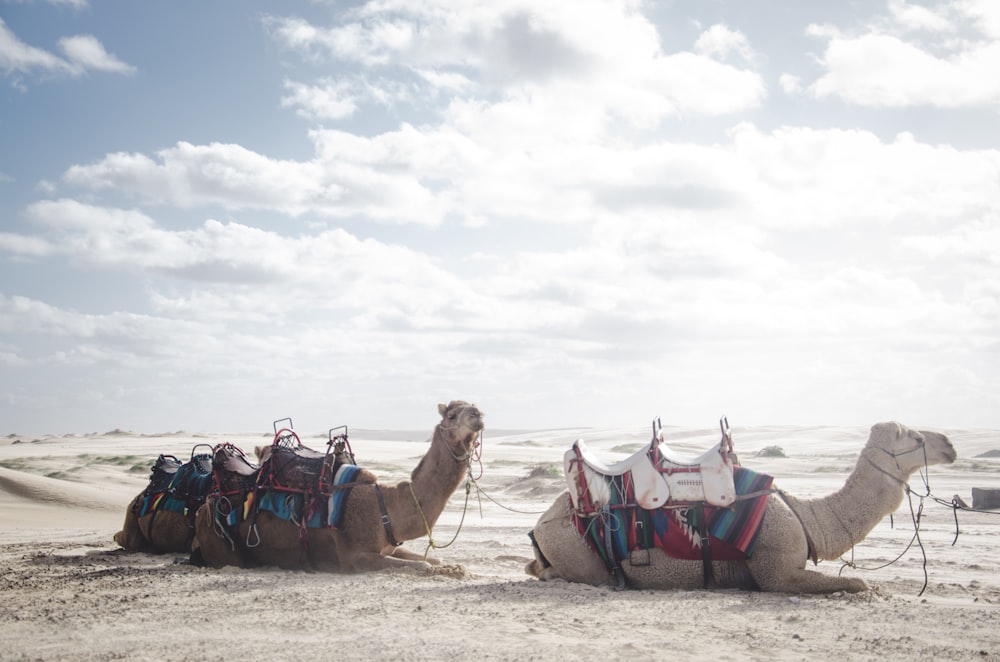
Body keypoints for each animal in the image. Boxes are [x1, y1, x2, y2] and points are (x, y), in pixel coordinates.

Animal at [193, 402, 486, 572]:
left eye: (473, 407)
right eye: (451, 414)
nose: (478, 415)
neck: (386, 505)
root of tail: (204, 506)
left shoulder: (390, 546)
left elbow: (434, 560)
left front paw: (454, 566)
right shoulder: (355, 556)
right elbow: (425, 566)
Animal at [524, 426, 952, 596]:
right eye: (916, 437)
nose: (949, 445)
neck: (806, 516)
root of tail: (540, 522)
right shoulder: (777, 572)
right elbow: (860, 583)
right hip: (577, 551)